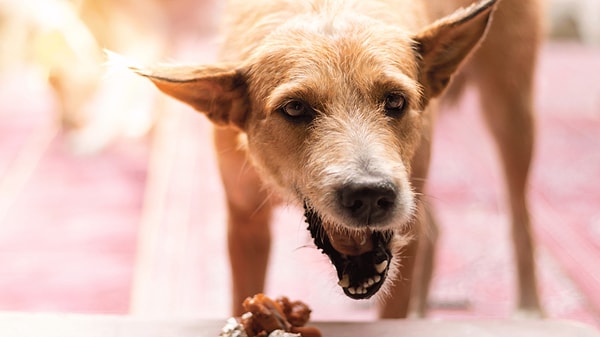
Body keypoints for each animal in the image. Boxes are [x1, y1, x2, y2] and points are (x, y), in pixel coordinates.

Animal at [131, 0, 544, 316]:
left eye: (395, 100)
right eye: (295, 108)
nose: (370, 195)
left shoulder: (405, 220)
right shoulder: (245, 225)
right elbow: (243, 298)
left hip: (510, 112)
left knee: (521, 221)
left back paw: (530, 309)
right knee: (437, 231)